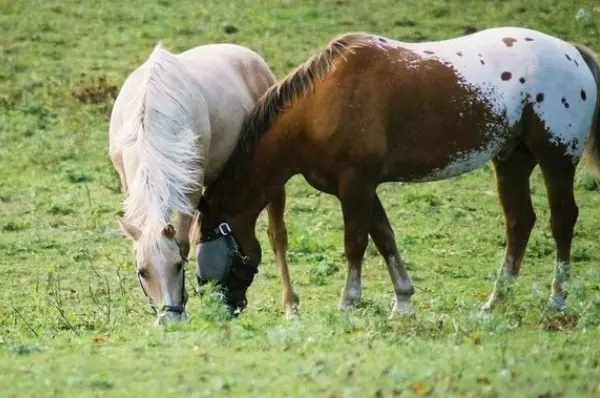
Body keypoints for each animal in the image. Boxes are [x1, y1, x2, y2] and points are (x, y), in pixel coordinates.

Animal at [109, 42, 296, 324]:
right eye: (142, 271)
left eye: (177, 266)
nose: (169, 320)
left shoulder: (191, 189)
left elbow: (184, 242)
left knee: (277, 236)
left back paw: (291, 307)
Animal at [197, 26, 600, 318]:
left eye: (212, 259)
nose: (224, 311)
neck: (322, 104)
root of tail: (571, 52)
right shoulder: (361, 187)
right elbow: (384, 237)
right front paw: (403, 302)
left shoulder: (356, 184)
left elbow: (356, 242)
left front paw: (349, 301)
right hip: (512, 160)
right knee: (519, 223)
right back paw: (495, 302)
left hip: (556, 159)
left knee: (562, 220)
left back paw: (557, 299)